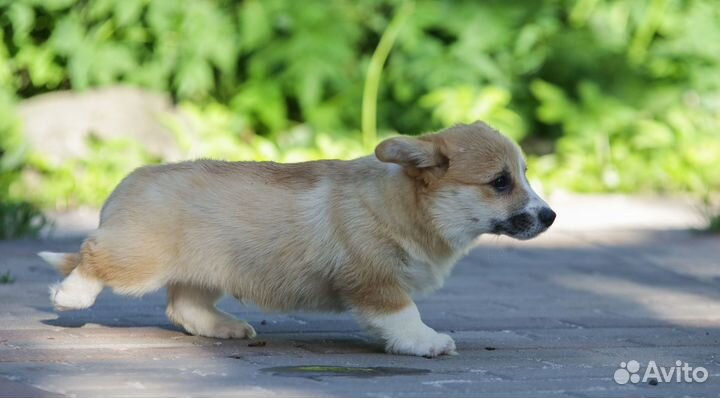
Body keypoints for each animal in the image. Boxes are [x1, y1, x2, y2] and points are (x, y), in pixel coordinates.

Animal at [39, 122, 556, 358]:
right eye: (500, 182)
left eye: (524, 175)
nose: (551, 216)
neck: (408, 207)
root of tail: (129, 182)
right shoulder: (375, 281)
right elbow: (405, 315)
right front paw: (425, 341)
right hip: (139, 258)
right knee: (93, 256)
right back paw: (70, 295)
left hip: (208, 269)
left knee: (184, 306)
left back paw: (225, 327)